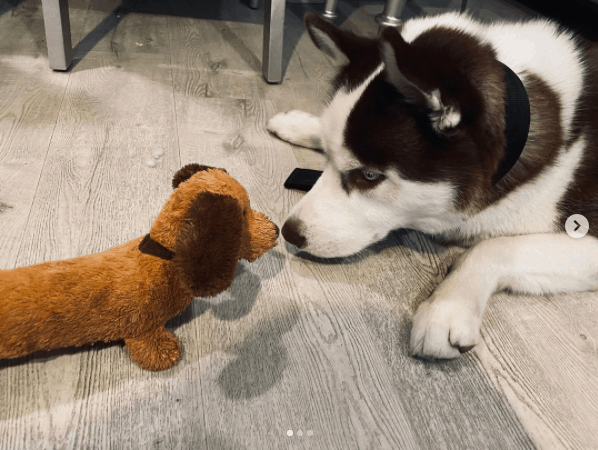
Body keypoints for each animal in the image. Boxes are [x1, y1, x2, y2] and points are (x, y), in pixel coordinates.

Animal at [270, 11, 598, 358]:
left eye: (370, 176)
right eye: (330, 156)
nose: (289, 232)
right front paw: (301, 123)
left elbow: (491, 247)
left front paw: (447, 309)